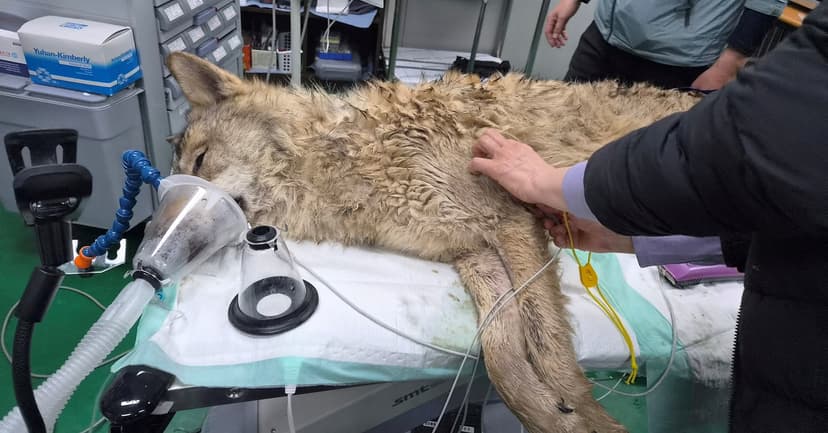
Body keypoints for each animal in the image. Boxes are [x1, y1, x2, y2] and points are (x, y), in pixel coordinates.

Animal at [166, 51, 700, 433]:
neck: (345, 158)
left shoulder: (510, 222)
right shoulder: (474, 253)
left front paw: (587, 416)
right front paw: (552, 414)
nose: (159, 249)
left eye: (201, 161)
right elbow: (503, 356)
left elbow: (547, 346)